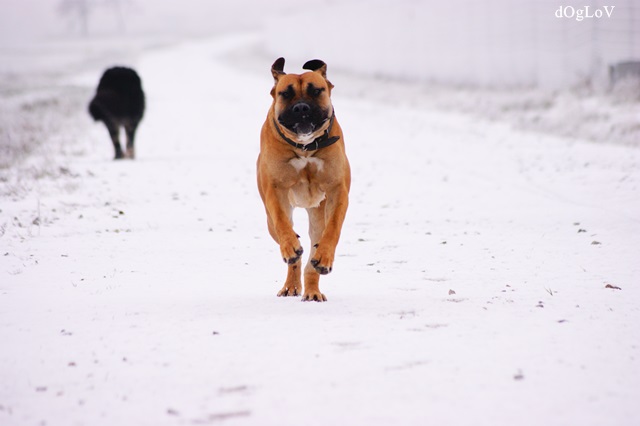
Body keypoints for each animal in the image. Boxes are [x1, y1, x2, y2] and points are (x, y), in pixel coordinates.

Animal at [257, 58, 350, 302]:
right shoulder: (275, 190)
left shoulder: (337, 190)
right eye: (285, 94)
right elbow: (282, 221)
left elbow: (333, 227)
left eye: (316, 91)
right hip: (270, 222)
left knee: (312, 257)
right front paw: (290, 247)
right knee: (294, 252)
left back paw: (313, 288)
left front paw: (324, 257)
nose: (301, 107)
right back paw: (291, 281)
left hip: (318, 215)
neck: (306, 147)